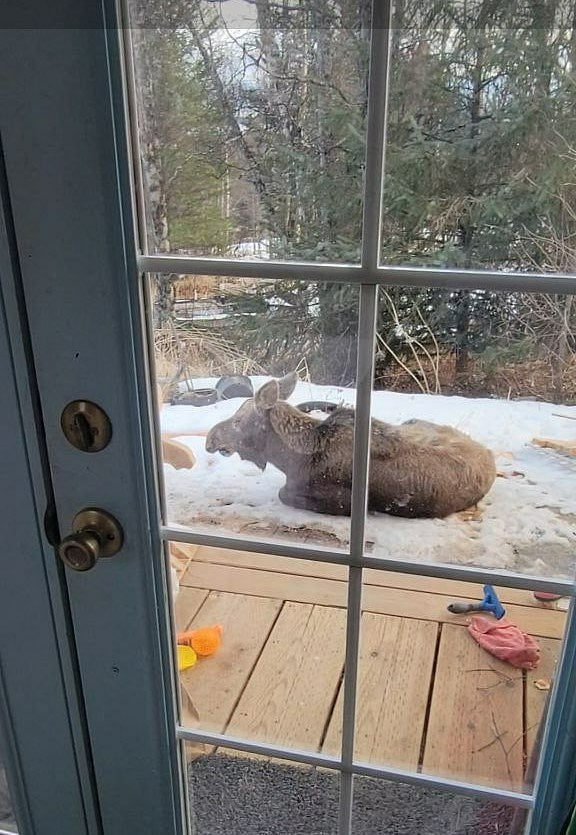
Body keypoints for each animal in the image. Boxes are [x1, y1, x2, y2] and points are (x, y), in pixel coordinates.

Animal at [205, 373, 497, 518]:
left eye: (239, 419)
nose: (210, 439)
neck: (289, 461)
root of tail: (489, 456)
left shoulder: (342, 501)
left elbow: (283, 494)